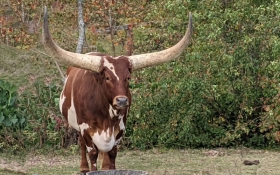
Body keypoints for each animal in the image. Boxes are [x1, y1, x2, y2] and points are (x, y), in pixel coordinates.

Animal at [42, 6, 192, 174]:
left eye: (128, 77)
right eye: (107, 77)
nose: (121, 100)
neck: (105, 116)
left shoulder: (120, 129)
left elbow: (112, 153)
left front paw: (109, 168)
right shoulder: (85, 129)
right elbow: (92, 153)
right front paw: (91, 169)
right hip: (76, 126)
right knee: (81, 145)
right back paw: (83, 168)